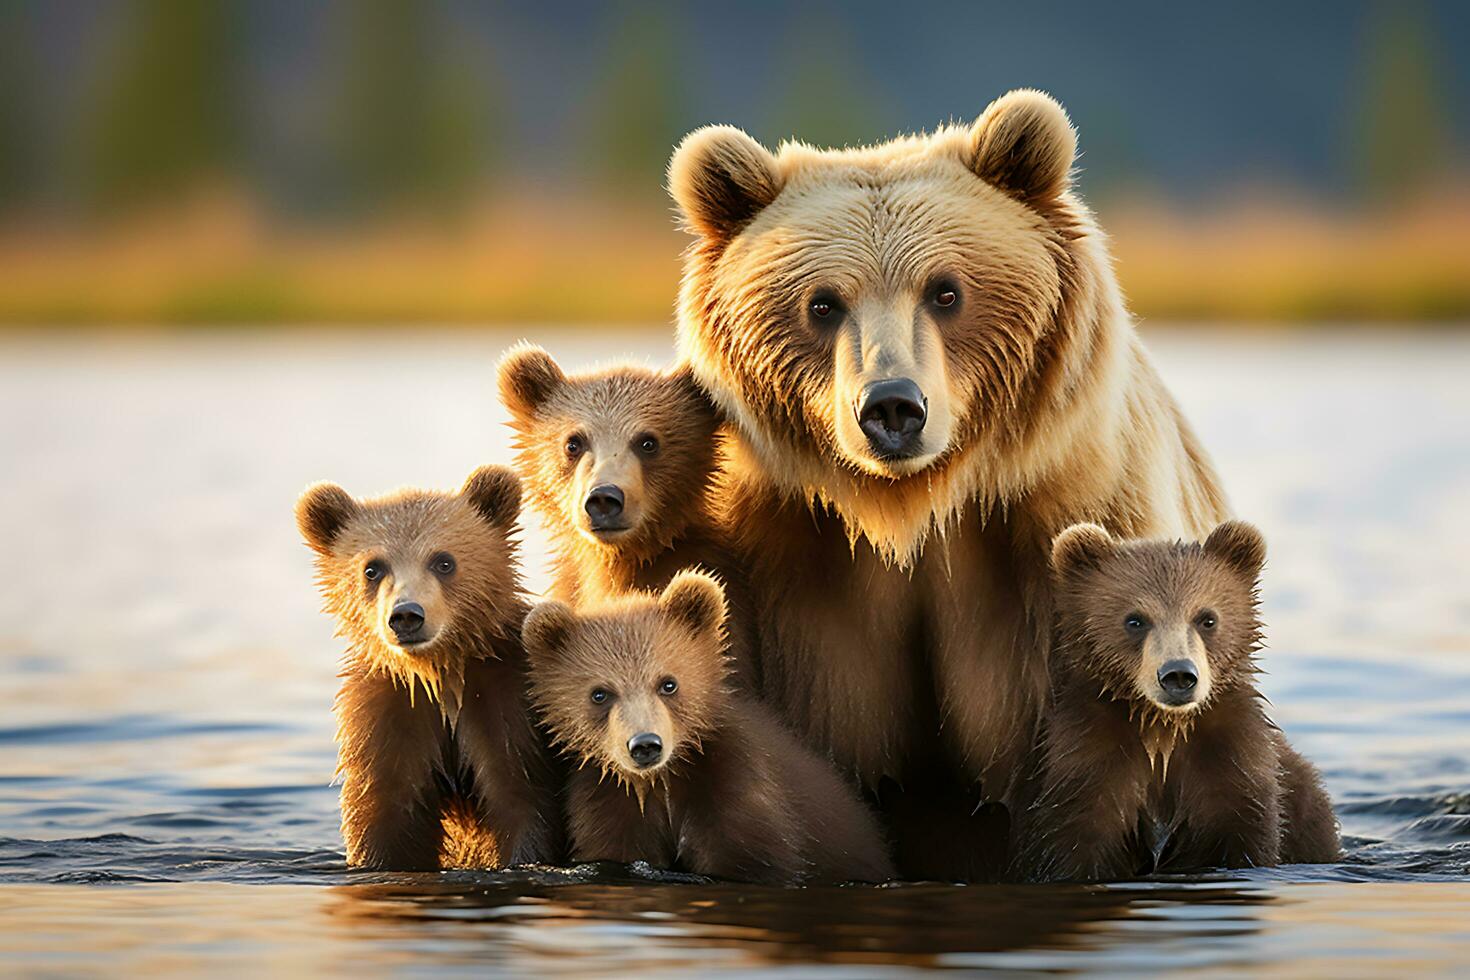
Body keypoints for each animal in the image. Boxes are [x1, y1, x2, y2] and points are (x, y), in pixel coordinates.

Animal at [294, 467, 561, 875]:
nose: (406, 615)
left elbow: (522, 799)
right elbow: (386, 816)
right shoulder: (392, 714)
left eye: (444, 561)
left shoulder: (504, 704)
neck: (439, 671)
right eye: (372, 568)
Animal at [526, 570, 893, 887]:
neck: (663, 782)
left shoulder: (734, 785)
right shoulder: (612, 801)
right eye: (600, 693)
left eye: (668, 683)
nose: (645, 744)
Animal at [667, 86, 1228, 881]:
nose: (893, 408)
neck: (915, 506)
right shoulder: (771, 556)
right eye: (823, 302)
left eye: (946, 291)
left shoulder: (1067, 529)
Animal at [1011, 520, 1346, 881]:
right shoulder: (1091, 761)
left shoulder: (1232, 765)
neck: (1163, 728)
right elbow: (1076, 839)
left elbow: (1245, 832)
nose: (1178, 675)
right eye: (1135, 619)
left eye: (1207, 618)